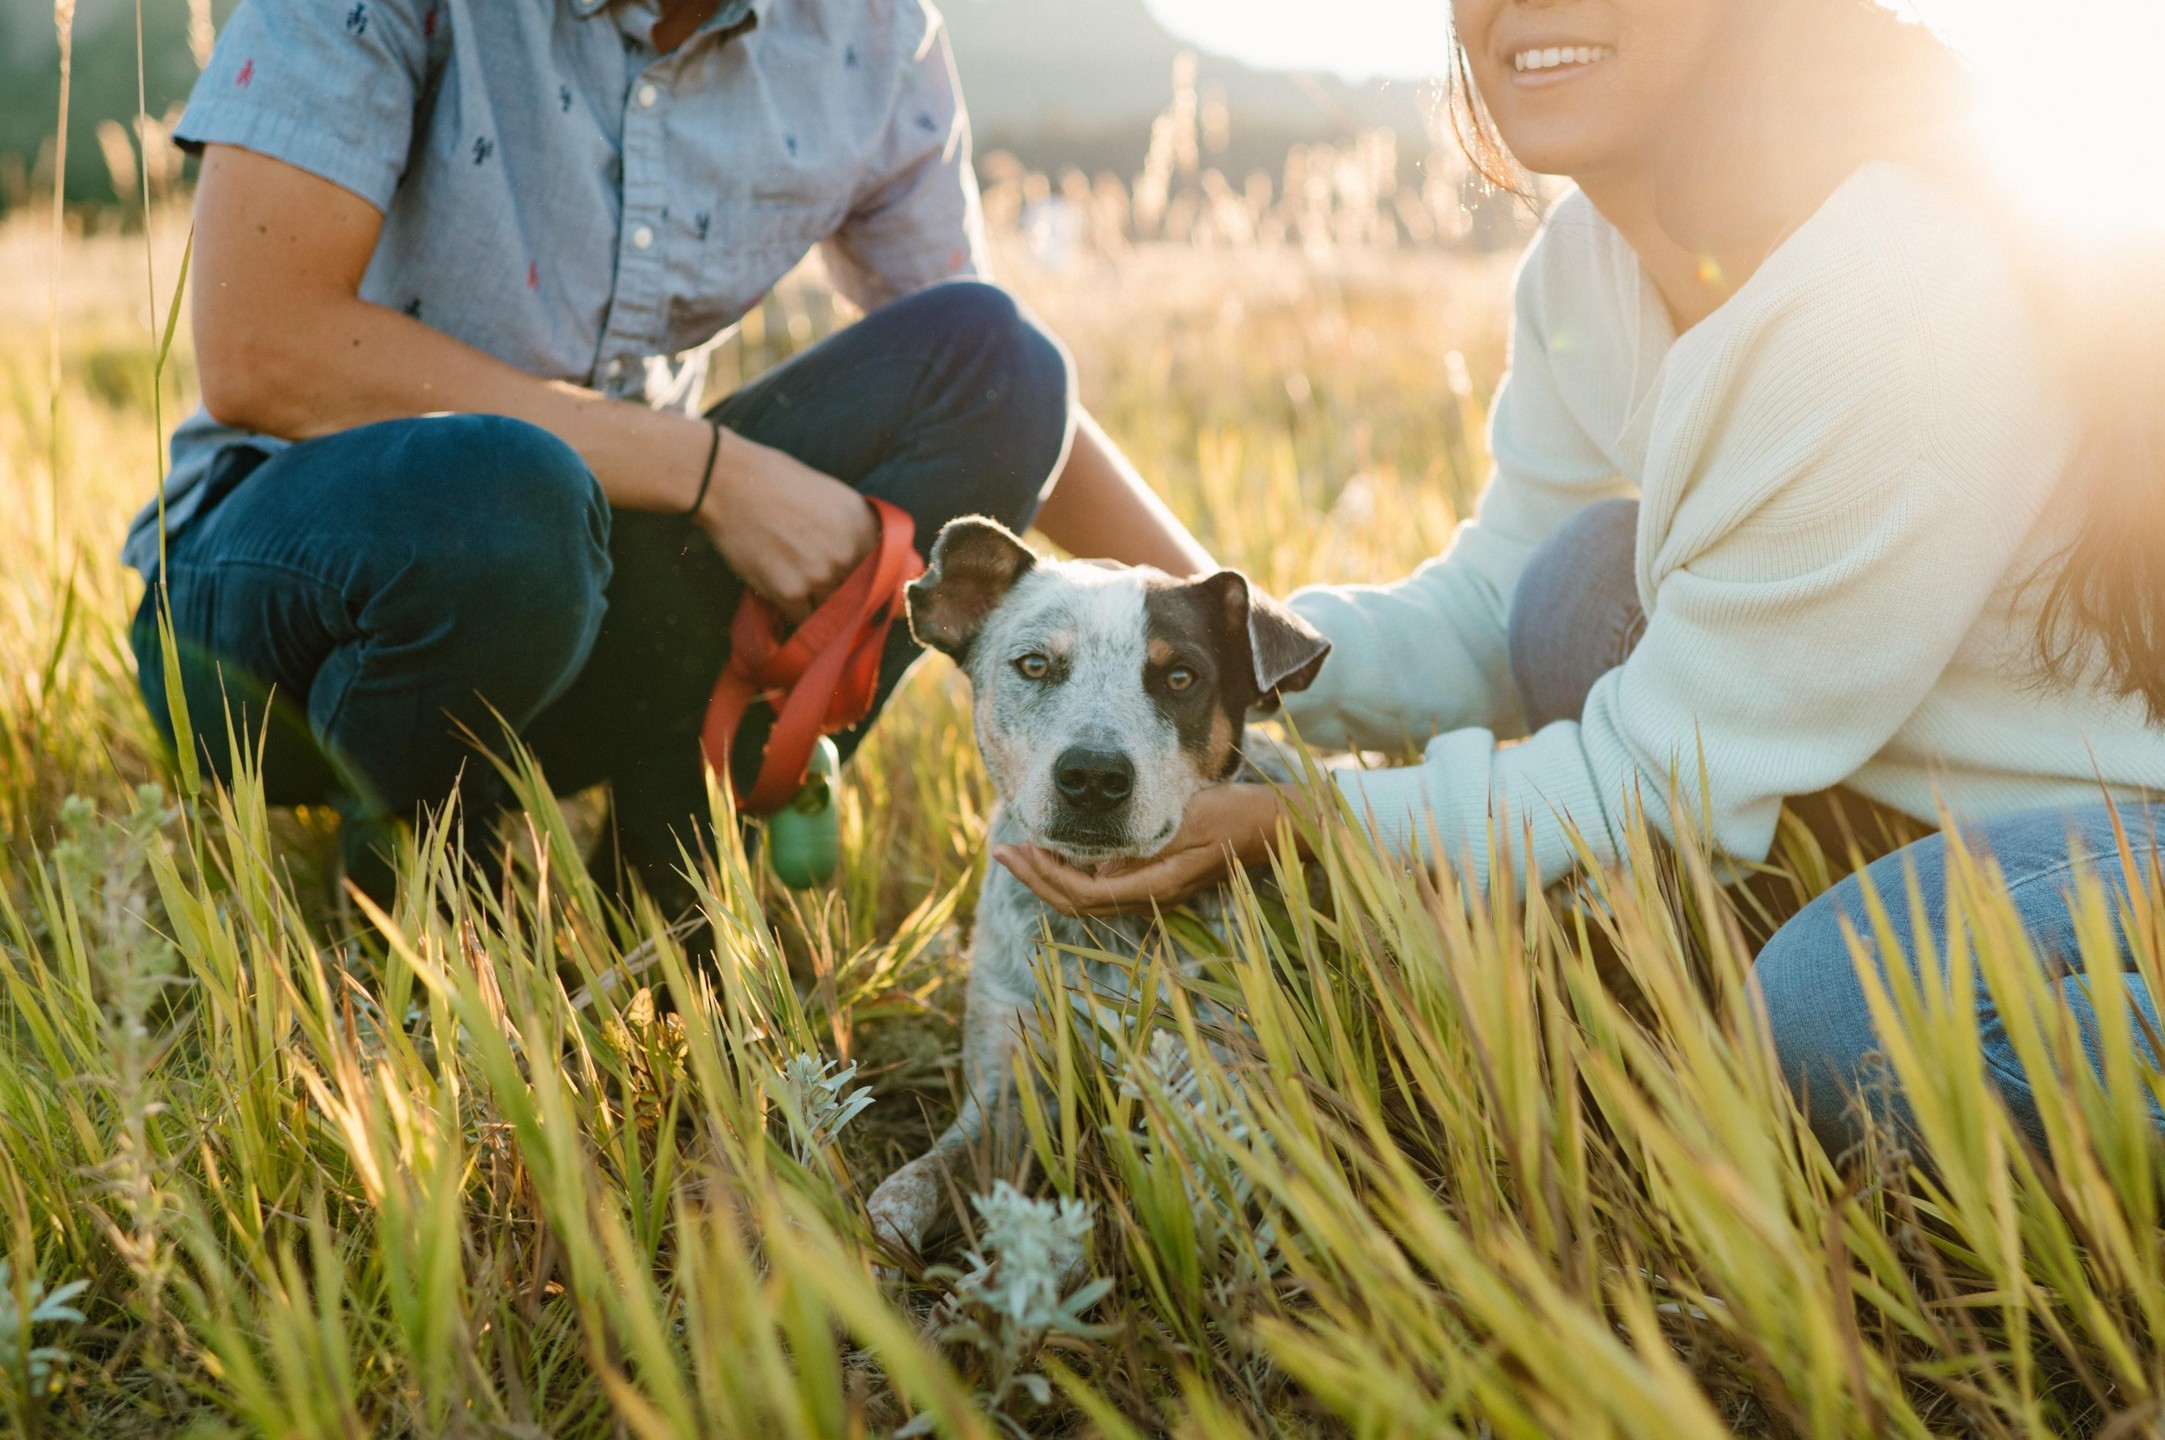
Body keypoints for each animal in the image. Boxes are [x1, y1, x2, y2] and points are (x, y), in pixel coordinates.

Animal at [857, 519, 1316, 1255]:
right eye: (1034, 665)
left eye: (1180, 677)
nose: (1095, 777)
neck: (1107, 932)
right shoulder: (1006, 1084)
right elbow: (919, 1176)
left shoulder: (1222, 1085)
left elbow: (1175, 1202)